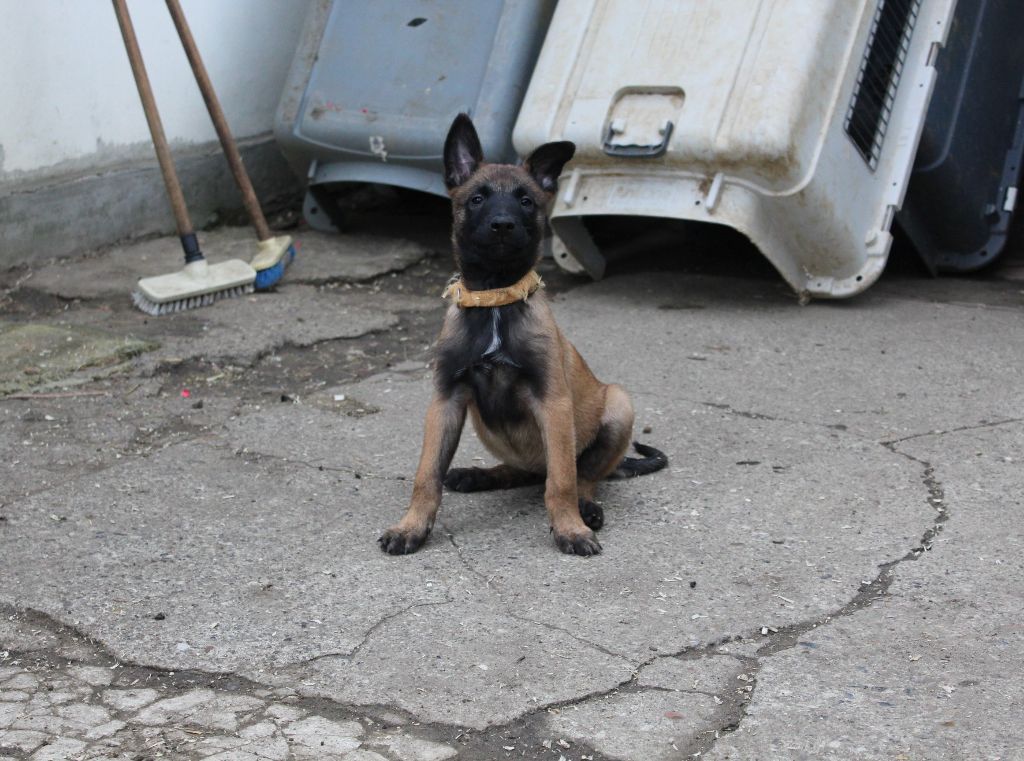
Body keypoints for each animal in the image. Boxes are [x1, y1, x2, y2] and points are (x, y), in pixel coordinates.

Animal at [378, 114, 667, 556]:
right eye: (477, 199)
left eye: (526, 201)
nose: (502, 224)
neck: (496, 298)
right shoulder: (446, 400)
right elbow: (426, 475)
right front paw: (411, 526)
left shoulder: (553, 402)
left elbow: (562, 481)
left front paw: (570, 528)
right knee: (524, 470)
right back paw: (480, 475)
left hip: (619, 402)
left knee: (582, 475)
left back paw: (587, 509)